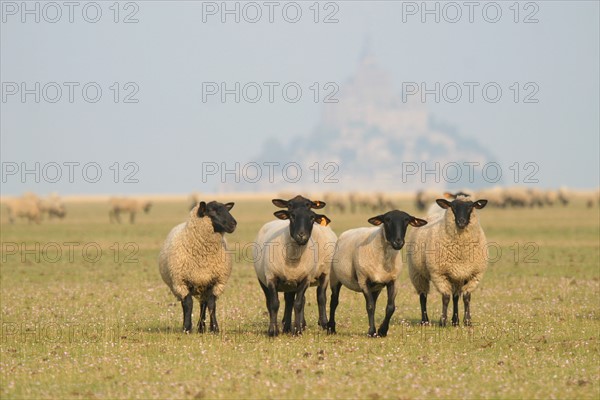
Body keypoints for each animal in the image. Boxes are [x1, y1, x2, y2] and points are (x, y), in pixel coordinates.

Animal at [159, 200, 237, 334]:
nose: (234, 224)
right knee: (186, 304)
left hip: (203, 285)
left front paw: (214, 328)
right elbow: (188, 304)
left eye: (226, 209)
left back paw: (201, 327)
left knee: (203, 304)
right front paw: (186, 328)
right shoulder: (181, 282)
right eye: (212, 211)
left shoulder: (216, 282)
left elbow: (211, 304)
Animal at [251, 195, 330, 336]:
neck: (293, 257)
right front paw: (273, 331)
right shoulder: (271, 277)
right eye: (292, 215)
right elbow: (274, 304)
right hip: (263, 280)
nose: (302, 235)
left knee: (318, 297)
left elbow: (298, 304)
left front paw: (297, 330)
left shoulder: (304, 279)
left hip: (320, 275)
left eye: (312, 217)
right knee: (271, 302)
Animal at [326, 209, 428, 338]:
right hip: (334, 277)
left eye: (407, 220)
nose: (398, 242)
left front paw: (382, 331)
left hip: (376, 288)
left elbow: (390, 307)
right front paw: (371, 332)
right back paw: (331, 328)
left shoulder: (393, 281)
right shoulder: (363, 280)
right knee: (334, 302)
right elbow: (369, 306)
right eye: (387, 220)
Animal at [406, 195, 490, 326]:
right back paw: (425, 320)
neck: (461, 249)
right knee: (423, 296)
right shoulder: (439, 274)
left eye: (471, 207)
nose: (461, 222)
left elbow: (466, 297)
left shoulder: (473, 275)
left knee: (455, 297)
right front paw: (443, 321)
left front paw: (467, 321)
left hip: (456, 277)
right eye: (453, 207)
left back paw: (455, 321)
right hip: (417, 273)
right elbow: (445, 298)